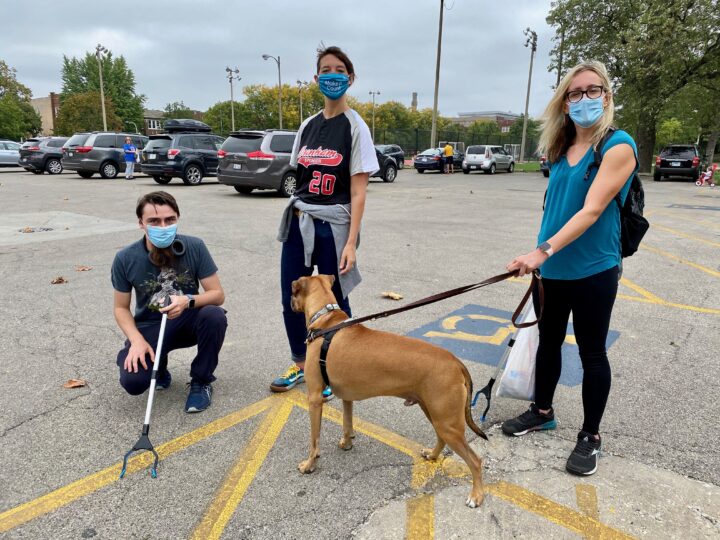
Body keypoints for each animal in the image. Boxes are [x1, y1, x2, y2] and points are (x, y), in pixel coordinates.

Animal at [292, 276, 490, 508]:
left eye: (293, 292)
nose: (290, 303)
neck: (327, 323)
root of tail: (456, 362)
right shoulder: (347, 397)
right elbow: (347, 423)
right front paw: (347, 442)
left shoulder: (314, 399)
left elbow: (314, 441)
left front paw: (309, 465)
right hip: (435, 413)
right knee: (441, 438)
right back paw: (432, 455)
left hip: (447, 422)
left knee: (475, 461)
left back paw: (476, 495)